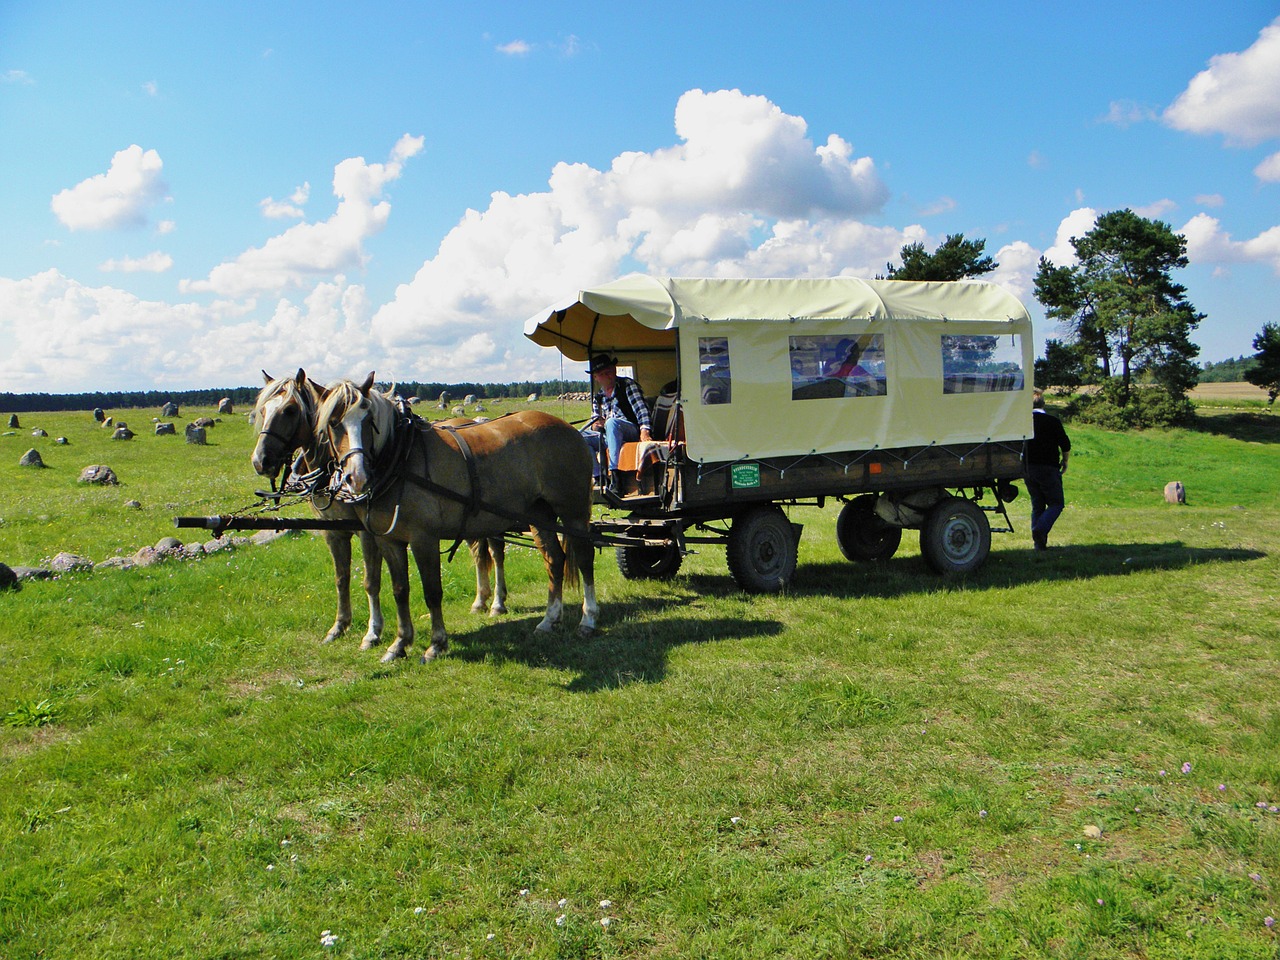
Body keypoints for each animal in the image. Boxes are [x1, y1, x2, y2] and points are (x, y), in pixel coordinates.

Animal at [249, 371, 509, 655]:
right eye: (262, 410)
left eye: (290, 410)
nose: (261, 461)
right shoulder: (333, 531)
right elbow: (341, 578)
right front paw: (339, 626)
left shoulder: (367, 532)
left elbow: (371, 581)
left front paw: (373, 632)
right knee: (478, 552)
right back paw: (480, 600)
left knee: (495, 552)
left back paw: (497, 602)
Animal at [320, 371, 599, 660]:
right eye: (334, 423)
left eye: (369, 420)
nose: (357, 477)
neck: (401, 459)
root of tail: (568, 428)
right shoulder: (388, 540)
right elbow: (400, 590)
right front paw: (399, 643)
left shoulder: (423, 538)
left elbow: (432, 591)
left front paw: (437, 643)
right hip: (540, 515)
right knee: (555, 560)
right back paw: (549, 619)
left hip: (573, 512)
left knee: (584, 558)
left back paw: (588, 620)